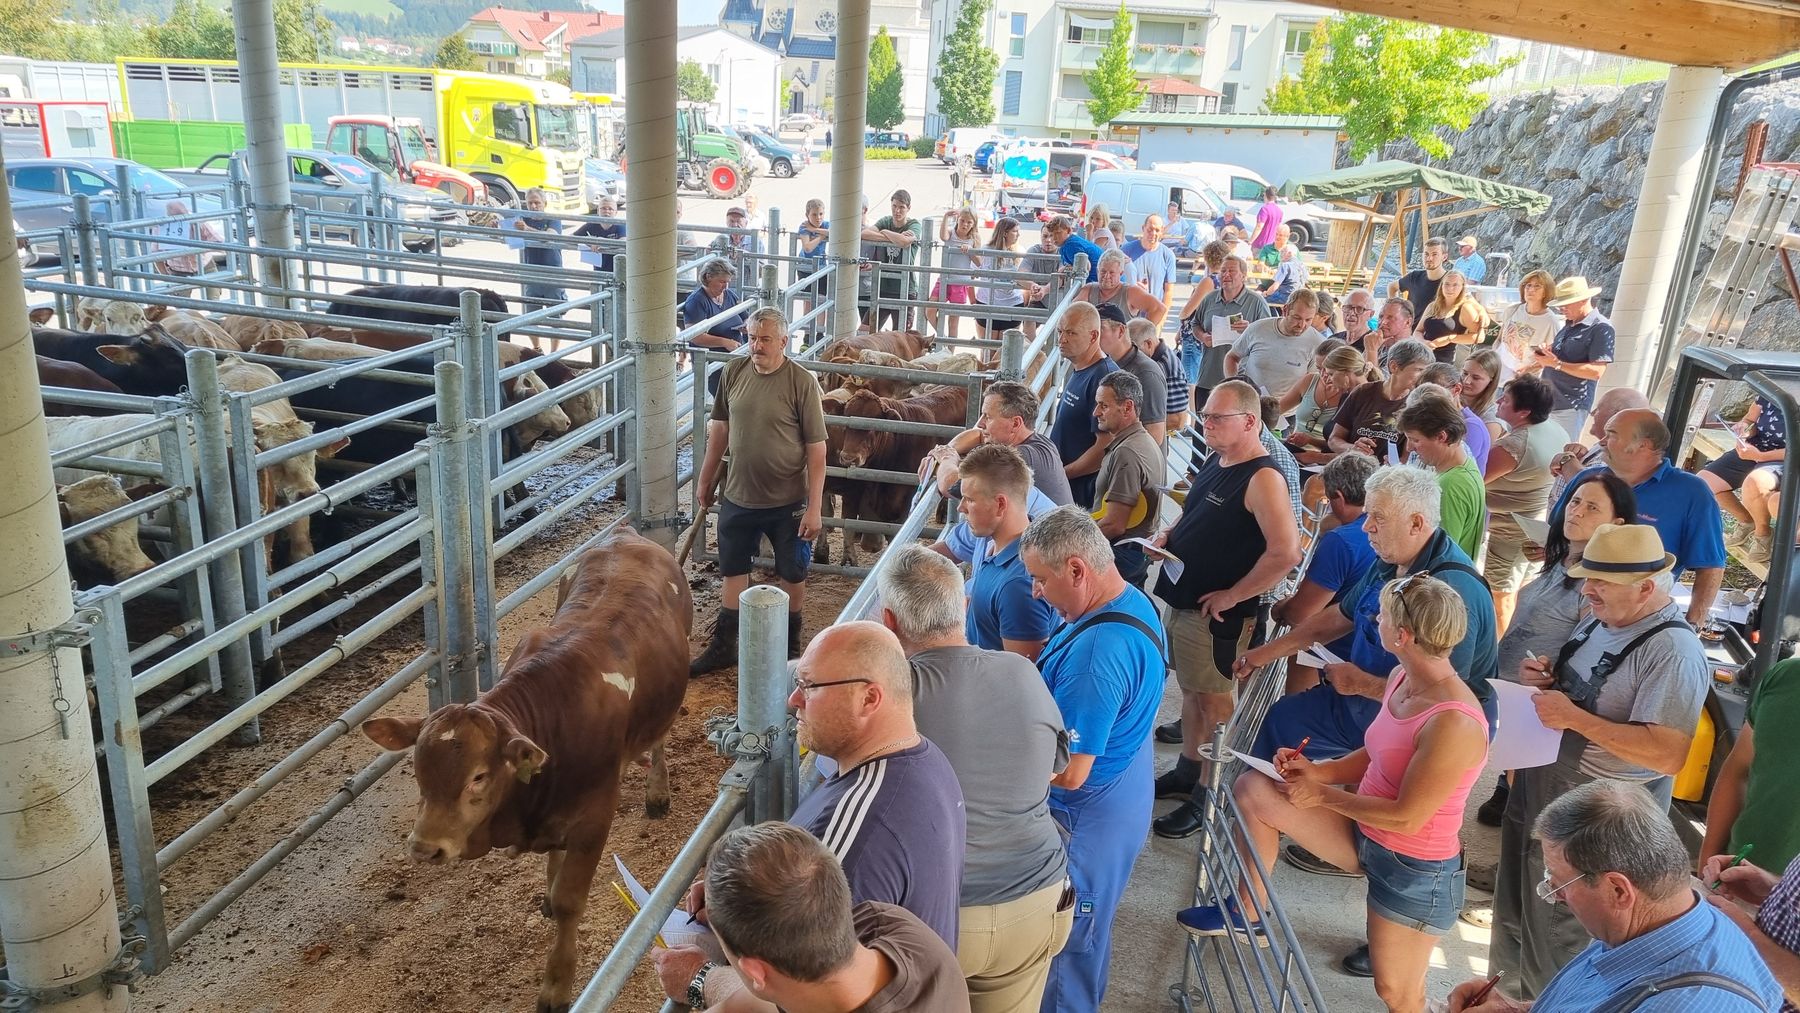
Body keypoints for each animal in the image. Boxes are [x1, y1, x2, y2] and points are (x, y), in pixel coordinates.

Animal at [358, 532, 687, 1013]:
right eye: (418, 770)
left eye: (478, 776)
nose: (424, 848)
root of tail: (626, 535)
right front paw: (548, 889)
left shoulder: (594, 819)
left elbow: (570, 902)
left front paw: (556, 986)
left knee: (659, 739)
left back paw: (657, 791)